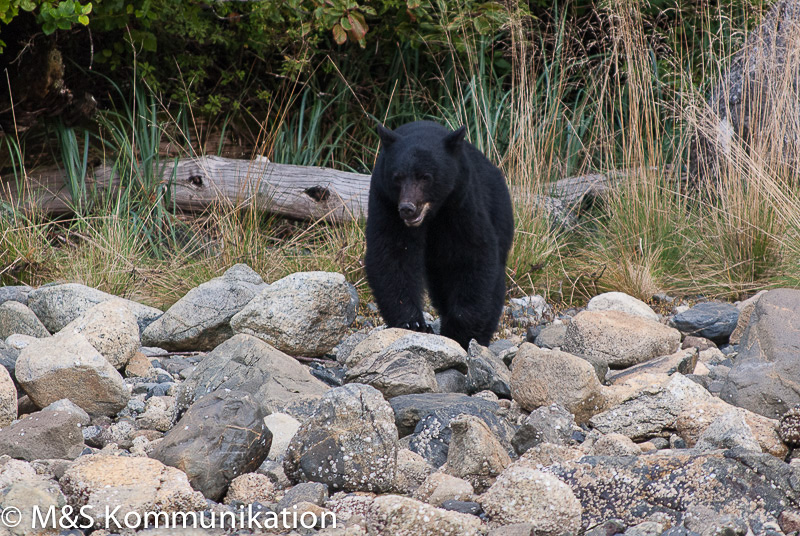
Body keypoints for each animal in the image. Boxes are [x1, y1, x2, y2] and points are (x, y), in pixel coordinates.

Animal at [368, 119, 516, 350]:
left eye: (425, 177)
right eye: (397, 177)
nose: (407, 208)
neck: (433, 214)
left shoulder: (461, 202)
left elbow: (473, 254)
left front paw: (458, 332)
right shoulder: (385, 201)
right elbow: (391, 254)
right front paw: (413, 323)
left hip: (499, 214)